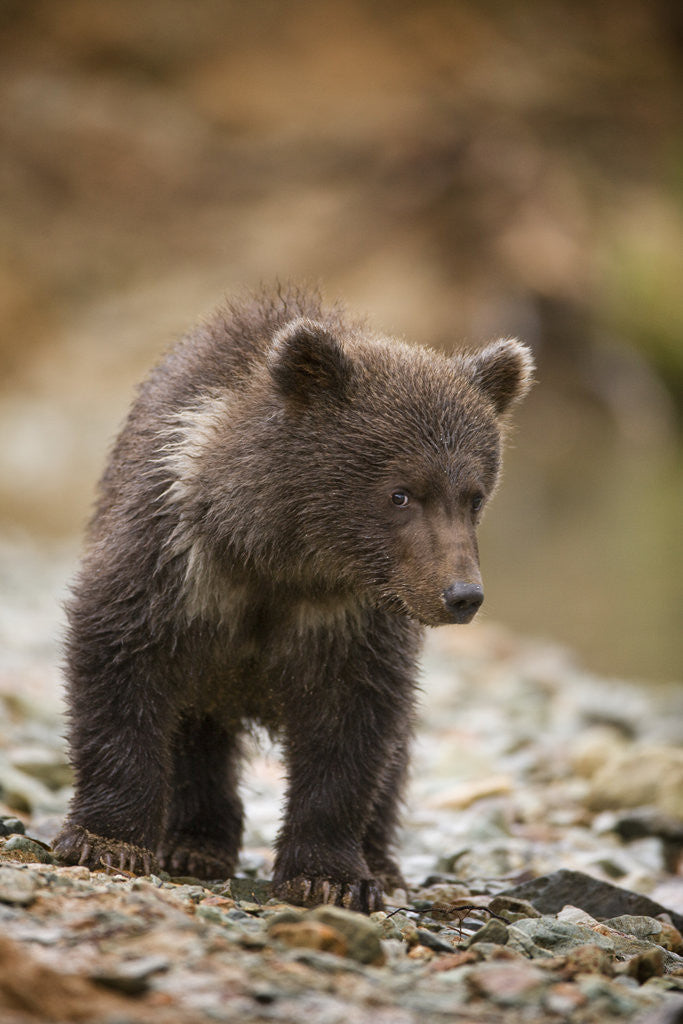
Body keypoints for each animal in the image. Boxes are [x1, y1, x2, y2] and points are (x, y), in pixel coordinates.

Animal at [53, 285, 534, 913]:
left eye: (473, 496)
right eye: (401, 493)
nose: (462, 595)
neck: (280, 559)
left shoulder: (352, 619)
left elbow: (351, 729)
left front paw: (330, 875)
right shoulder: (174, 566)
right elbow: (118, 667)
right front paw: (106, 841)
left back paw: (380, 861)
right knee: (193, 733)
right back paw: (193, 844)